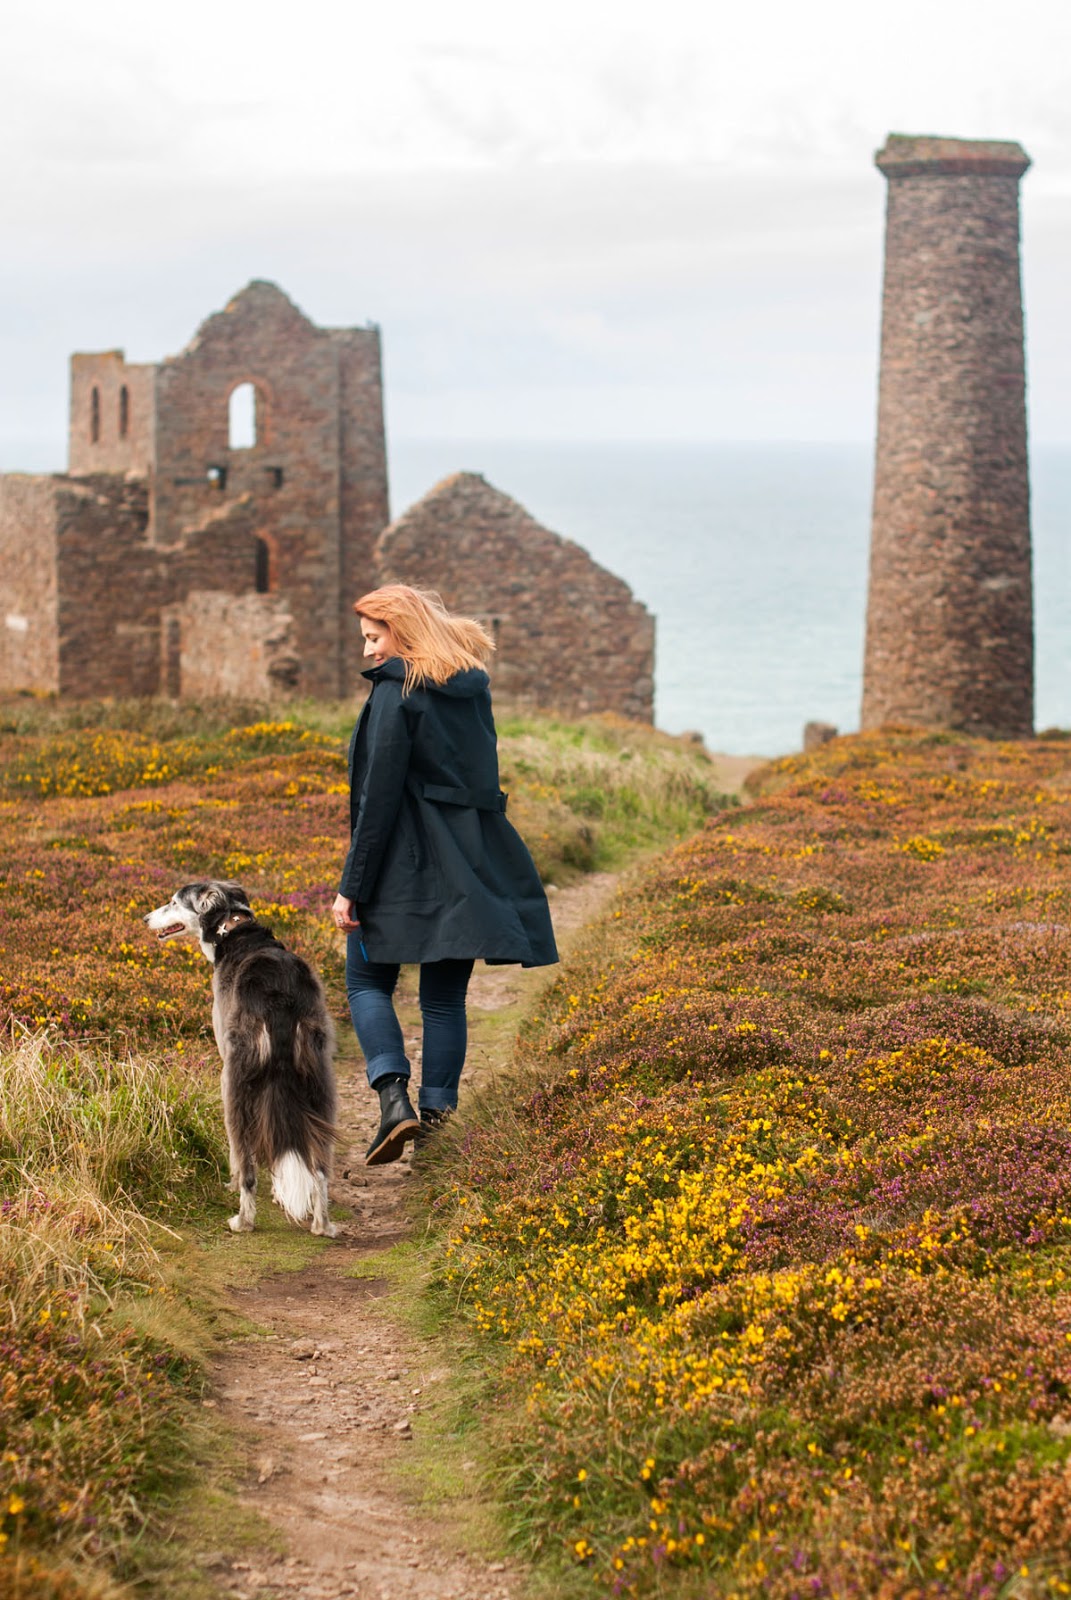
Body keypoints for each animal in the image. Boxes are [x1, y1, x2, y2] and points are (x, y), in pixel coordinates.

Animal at [146, 876, 336, 1235]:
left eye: (174, 902)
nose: (145, 919)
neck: (232, 927)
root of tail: (279, 996)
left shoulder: (225, 1069)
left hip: (237, 1080)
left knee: (246, 1161)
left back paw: (243, 1218)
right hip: (319, 1080)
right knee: (318, 1167)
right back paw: (322, 1224)